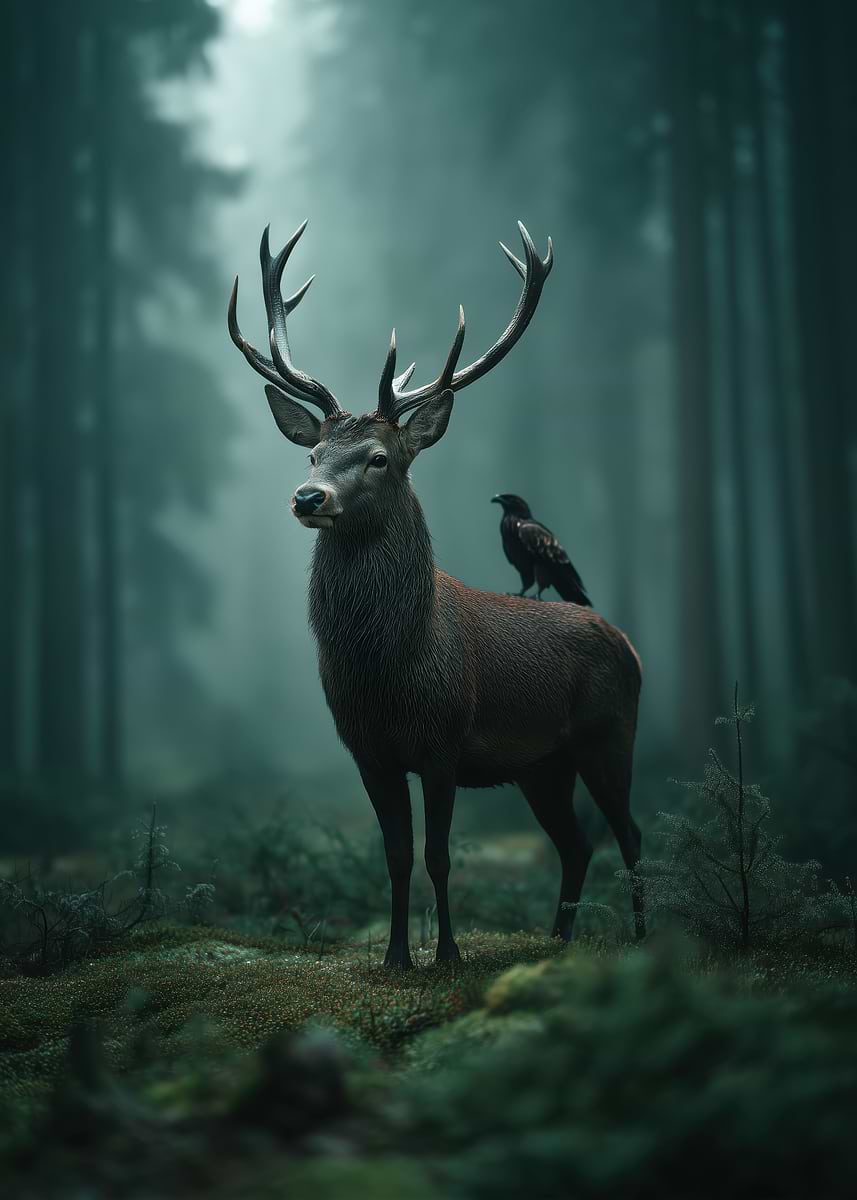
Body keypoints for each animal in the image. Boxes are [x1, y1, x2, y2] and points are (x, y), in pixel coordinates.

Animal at [228, 219, 644, 968]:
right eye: (312, 454)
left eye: (378, 458)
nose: (307, 497)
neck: (387, 672)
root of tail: (630, 647)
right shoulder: (366, 750)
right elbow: (395, 856)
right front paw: (396, 955)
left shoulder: (445, 741)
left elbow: (439, 855)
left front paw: (446, 953)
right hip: (543, 765)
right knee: (576, 843)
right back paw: (556, 939)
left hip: (610, 733)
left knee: (628, 833)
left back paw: (644, 937)